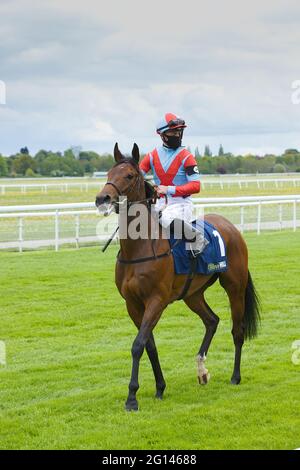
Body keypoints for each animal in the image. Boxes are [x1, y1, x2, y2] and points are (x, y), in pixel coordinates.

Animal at [96, 143, 260, 412]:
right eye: (109, 173)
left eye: (129, 175)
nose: (102, 198)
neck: (139, 248)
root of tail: (230, 227)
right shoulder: (132, 304)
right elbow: (149, 345)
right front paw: (160, 388)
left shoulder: (156, 300)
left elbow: (137, 345)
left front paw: (132, 397)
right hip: (192, 294)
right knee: (212, 320)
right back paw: (202, 370)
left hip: (234, 286)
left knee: (238, 330)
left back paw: (235, 376)